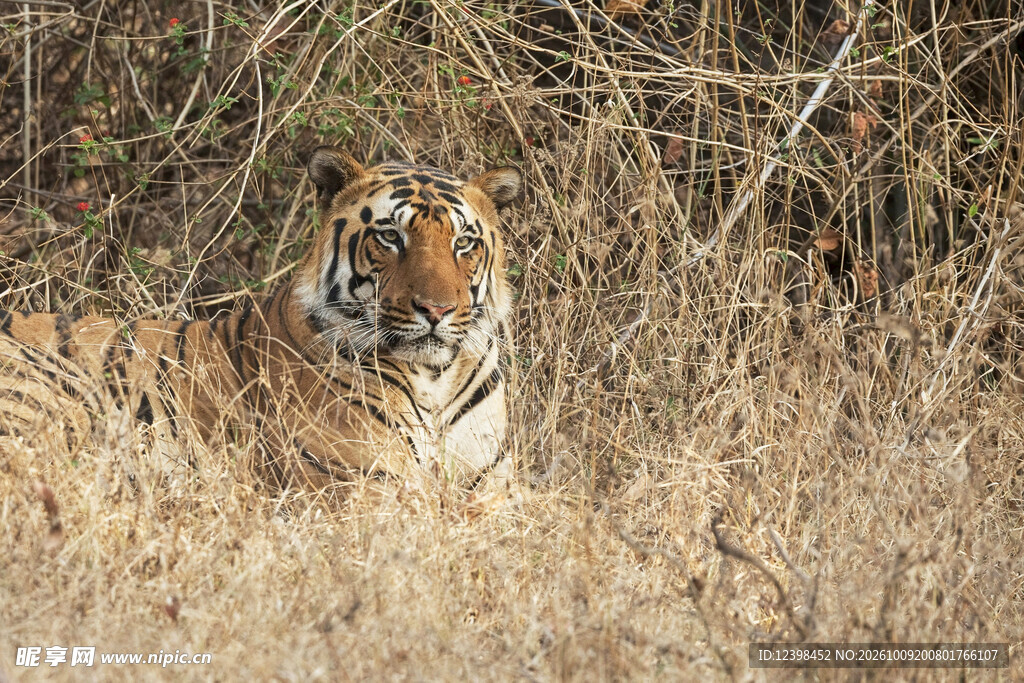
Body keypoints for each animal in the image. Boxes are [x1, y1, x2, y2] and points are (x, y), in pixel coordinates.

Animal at [0, 146, 522, 500]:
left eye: (463, 243)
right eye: (391, 237)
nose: (435, 310)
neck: (435, 379)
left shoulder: (494, 488)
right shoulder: (366, 488)